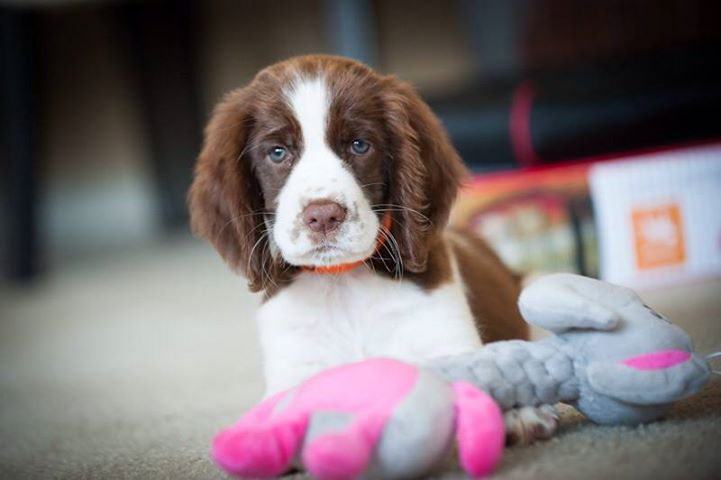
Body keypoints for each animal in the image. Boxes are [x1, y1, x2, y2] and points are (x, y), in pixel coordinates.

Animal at [187, 54, 556, 444]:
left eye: (359, 145)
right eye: (277, 152)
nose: (323, 216)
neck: (343, 283)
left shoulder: (445, 337)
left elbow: (474, 370)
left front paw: (518, 410)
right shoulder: (294, 363)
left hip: (534, 286)